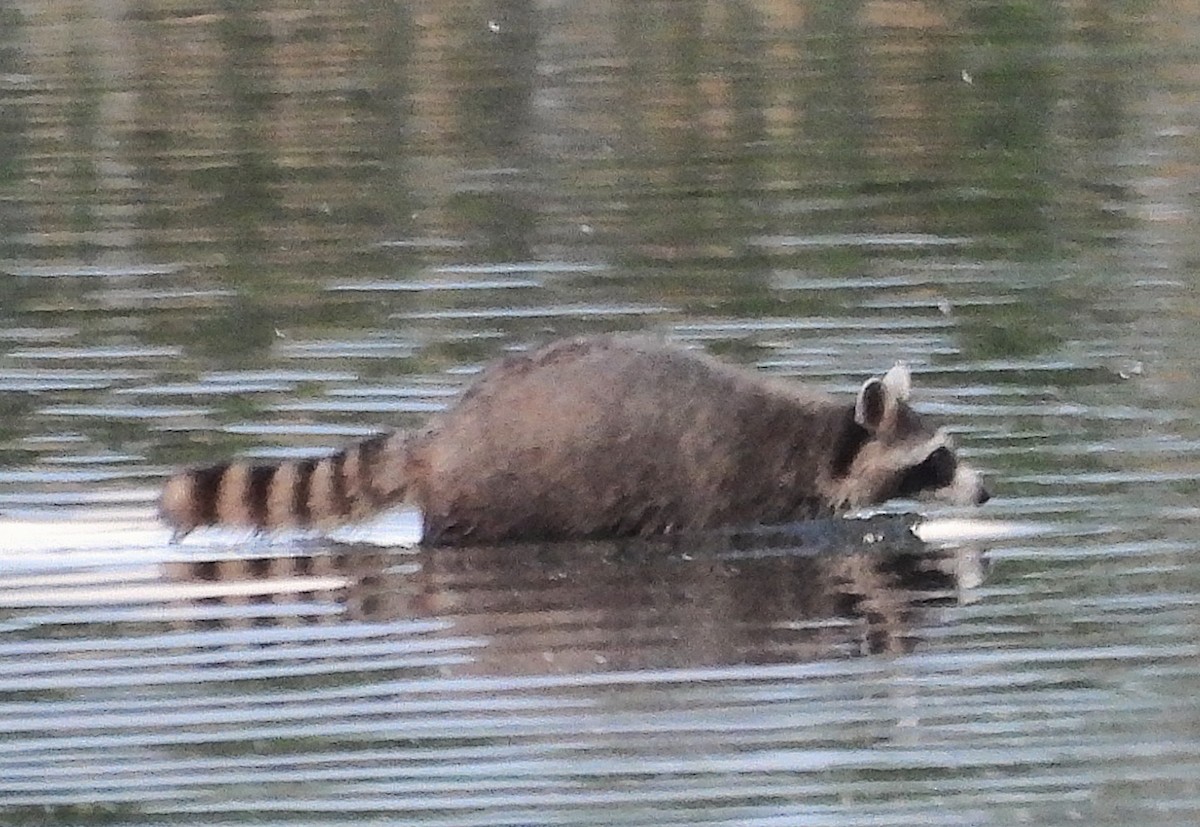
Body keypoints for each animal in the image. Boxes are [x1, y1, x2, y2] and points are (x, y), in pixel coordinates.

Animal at [161, 335, 990, 545]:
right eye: (937, 459)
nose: (986, 491)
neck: (822, 439)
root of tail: (444, 433)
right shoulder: (739, 492)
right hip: (497, 496)